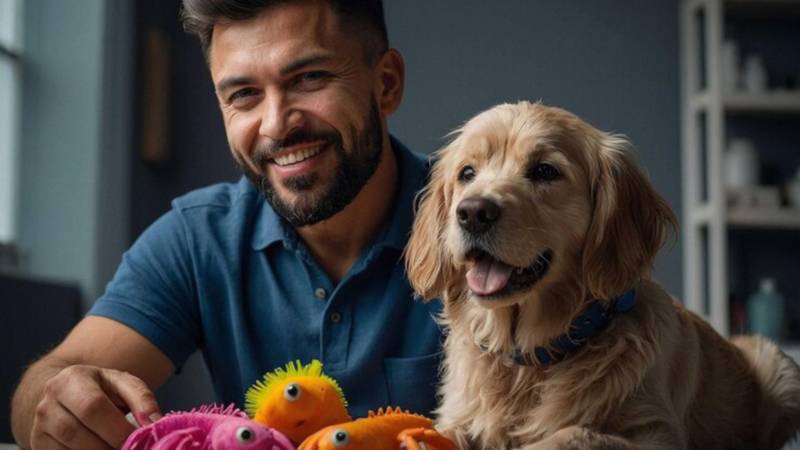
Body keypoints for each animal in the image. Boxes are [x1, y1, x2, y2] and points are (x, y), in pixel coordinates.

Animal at [406, 102, 800, 450]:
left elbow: (575, 433)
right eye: (466, 173)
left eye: (545, 171)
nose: (473, 213)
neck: (531, 361)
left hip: (777, 363)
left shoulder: (659, 434)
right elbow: (436, 429)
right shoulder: (456, 417)